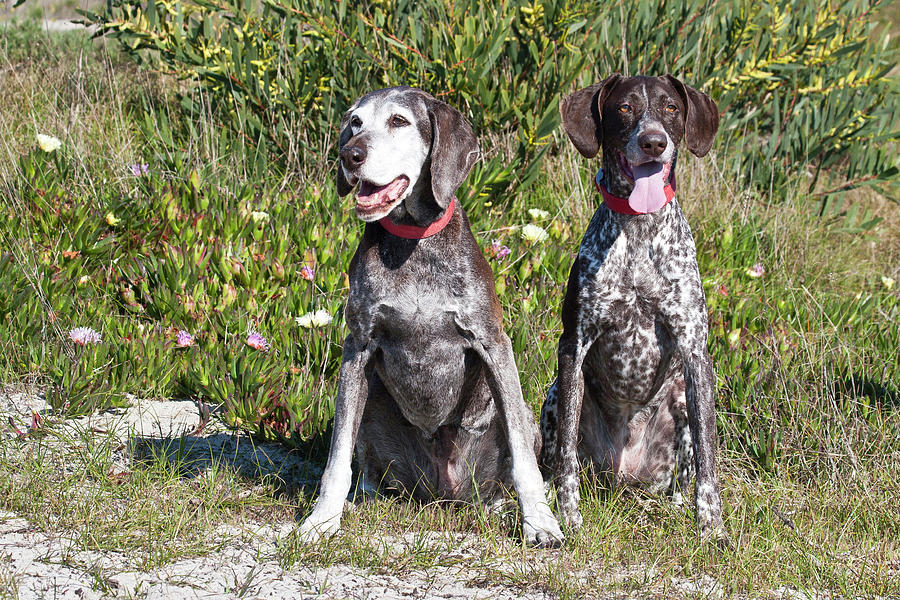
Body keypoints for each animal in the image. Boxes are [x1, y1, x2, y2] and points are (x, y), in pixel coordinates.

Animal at [298, 86, 564, 552]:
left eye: (399, 121)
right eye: (355, 122)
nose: (350, 155)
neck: (413, 244)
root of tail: (443, 488)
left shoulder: (493, 345)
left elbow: (524, 463)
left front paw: (540, 522)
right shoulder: (358, 347)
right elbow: (336, 458)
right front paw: (322, 519)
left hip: (522, 416)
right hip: (371, 406)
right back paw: (363, 496)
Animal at [536, 72, 728, 540]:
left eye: (671, 108)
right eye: (624, 108)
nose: (654, 142)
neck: (640, 228)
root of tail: (622, 476)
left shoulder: (696, 355)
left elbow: (708, 465)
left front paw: (712, 528)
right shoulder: (574, 347)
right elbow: (565, 458)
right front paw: (569, 516)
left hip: (680, 403)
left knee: (682, 476)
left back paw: (678, 506)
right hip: (556, 393)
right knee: (557, 458)